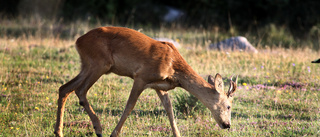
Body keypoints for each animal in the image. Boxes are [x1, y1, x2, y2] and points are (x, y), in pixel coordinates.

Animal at [53, 26, 238, 137]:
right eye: (229, 106)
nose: (227, 125)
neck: (174, 68)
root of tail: (78, 41)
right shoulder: (141, 77)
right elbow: (129, 106)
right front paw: (114, 133)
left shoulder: (160, 86)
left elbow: (169, 109)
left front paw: (177, 134)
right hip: (100, 64)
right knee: (80, 90)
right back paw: (98, 129)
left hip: (87, 64)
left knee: (65, 88)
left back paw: (59, 131)